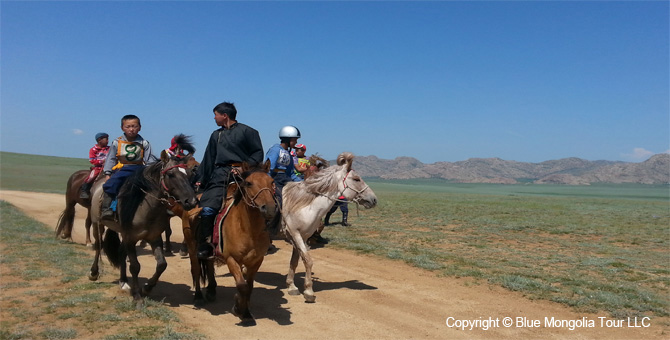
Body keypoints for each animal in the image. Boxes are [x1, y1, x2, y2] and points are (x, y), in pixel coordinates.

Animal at [86, 149, 198, 306]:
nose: (192, 201)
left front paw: (147, 288)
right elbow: (135, 266)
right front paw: (138, 296)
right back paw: (94, 272)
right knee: (98, 247)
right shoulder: (131, 238)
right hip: (98, 224)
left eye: (189, 174)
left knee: (120, 252)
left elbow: (162, 264)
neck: (145, 207)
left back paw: (123, 281)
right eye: (171, 174)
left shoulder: (153, 237)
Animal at [280, 153, 378, 302]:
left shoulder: (302, 236)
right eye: (356, 179)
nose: (374, 199)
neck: (303, 204)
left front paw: (291, 286)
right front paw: (309, 291)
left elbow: (295, 260)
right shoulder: (294, 233)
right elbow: (308, 260)